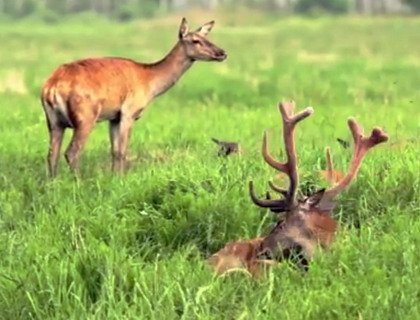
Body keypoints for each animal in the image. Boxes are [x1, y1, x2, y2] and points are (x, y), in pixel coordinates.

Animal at [41, 18, 228, 176]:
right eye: (195, 40)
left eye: (206, 37)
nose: (222, 53)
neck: (149, 82)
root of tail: (51, 87)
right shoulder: (129, 112)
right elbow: (122, 151)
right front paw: (120, 180)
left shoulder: (114, 117)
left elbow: (114, 151)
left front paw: (113, 178)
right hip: (85, 117)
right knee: (72, 152)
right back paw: (77, 184)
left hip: (54, 122)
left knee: (51, 154)